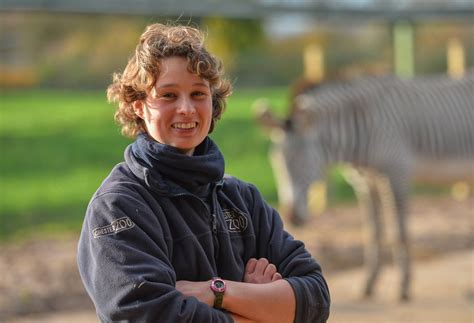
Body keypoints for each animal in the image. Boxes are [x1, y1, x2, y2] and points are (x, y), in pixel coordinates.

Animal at [256, 72, 474, 302]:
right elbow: (373, 232)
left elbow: (399, 232)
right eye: (276, 160)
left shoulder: (397, 173)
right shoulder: (366, 182)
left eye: (303, 159)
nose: (292, 216)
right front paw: (368, 284)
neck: (362, 128)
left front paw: (403, 286)